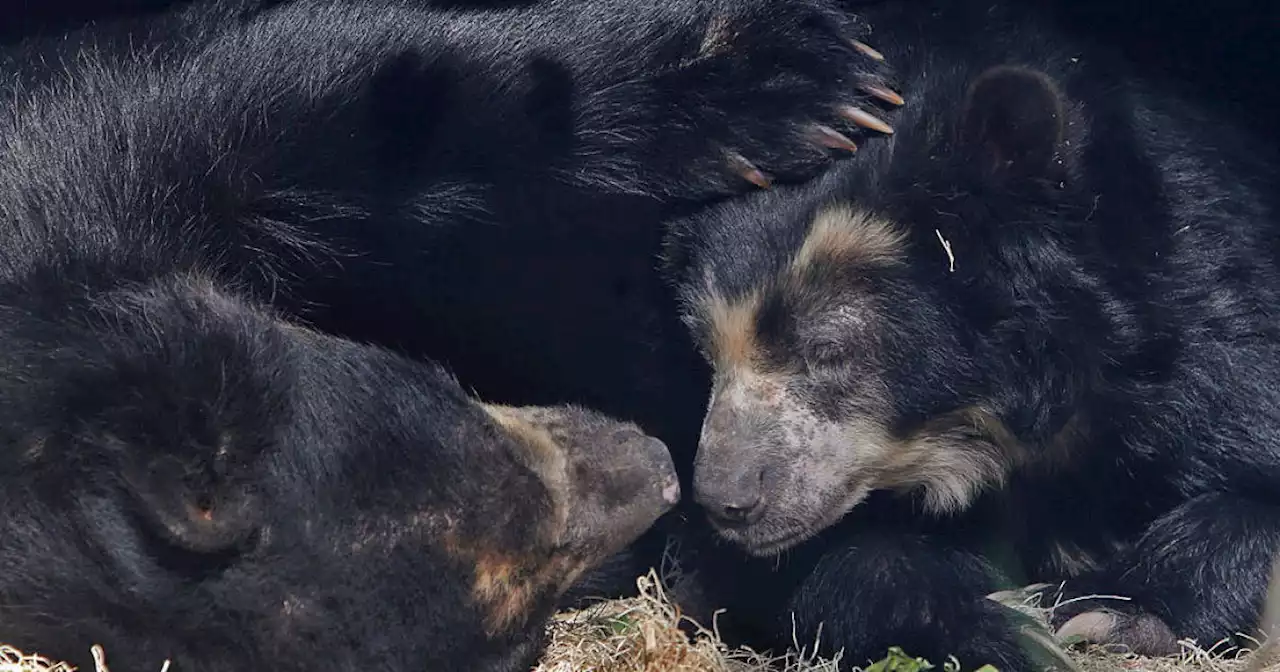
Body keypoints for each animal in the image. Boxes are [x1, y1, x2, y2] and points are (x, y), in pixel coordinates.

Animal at [0, 0, 901, 665]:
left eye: (463, 427)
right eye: (522, 632)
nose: (661, 469)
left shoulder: (73, 164)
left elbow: (330, 97)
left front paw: (805, 79)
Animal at [660, 0, 1280, 665]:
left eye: (828, 350)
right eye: (706, 348)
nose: (727, 500)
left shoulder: (1203, 330)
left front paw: (1105, 615)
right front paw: (993, 627)